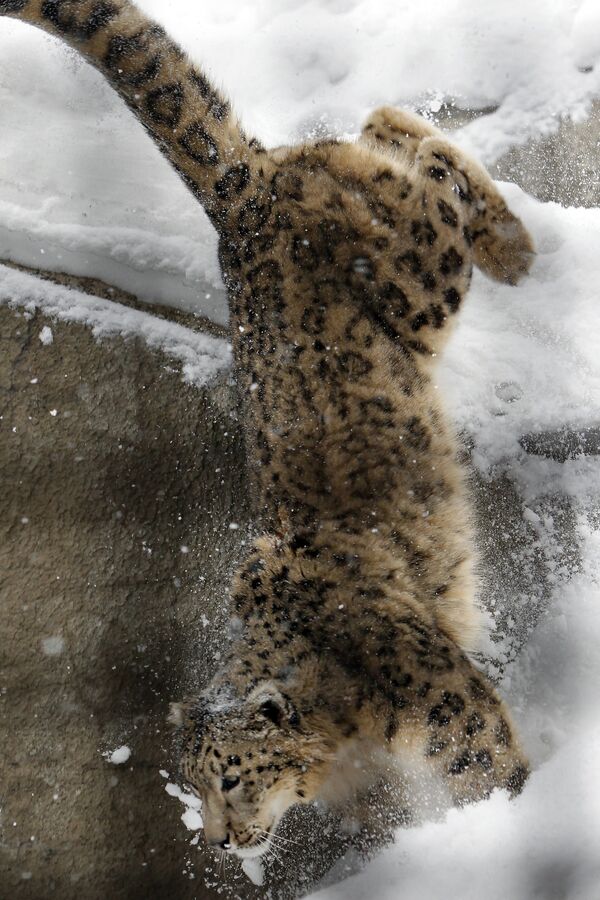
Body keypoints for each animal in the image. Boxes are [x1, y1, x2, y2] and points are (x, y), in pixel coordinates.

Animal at [0, 0, 536, 856]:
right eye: (192, 783)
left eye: (228, 777)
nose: (219, 841)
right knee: (375, 132)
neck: (352, 735)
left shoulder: (452, 717)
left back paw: (512, 244)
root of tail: (241, 191)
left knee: (420, 175)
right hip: (412, 287)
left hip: (419, 285)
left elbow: (493, 773)